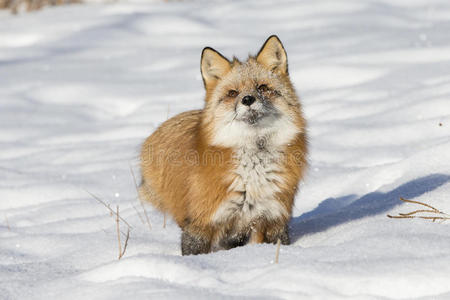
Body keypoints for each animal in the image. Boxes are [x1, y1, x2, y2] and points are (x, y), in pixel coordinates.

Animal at [141, 35, 308, 255]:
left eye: (263, 88)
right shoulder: (200, 223)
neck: (252, 176)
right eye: (233, 93)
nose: (248, 99)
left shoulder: (273, 219)